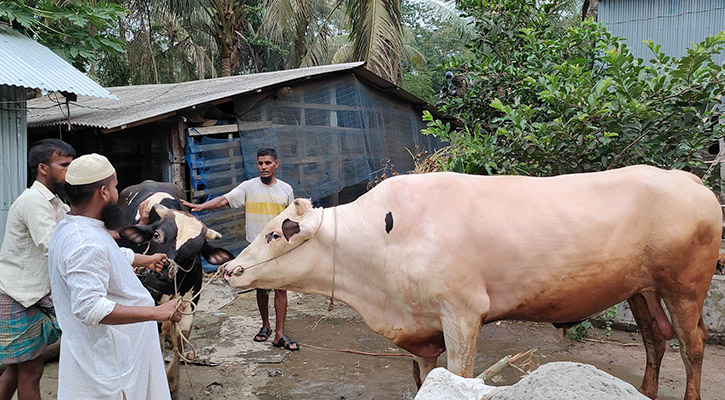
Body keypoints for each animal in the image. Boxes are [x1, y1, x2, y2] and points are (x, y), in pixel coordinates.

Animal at [116, 181, 233, 394]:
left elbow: (181, 335)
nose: (160, 277)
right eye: (156, 235)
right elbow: (158, 335)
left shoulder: (189, 300)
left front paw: (172, 379)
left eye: (195, 252)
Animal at [223, 164, 720, 398]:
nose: (228, 270)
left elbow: (459, 376)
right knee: (655, 339)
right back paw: (646, 393)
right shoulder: (421, 325)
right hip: (642, 289)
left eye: (274, 233)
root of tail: (688, 179)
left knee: (692, 345)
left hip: (685, 286)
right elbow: (426, 379)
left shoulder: (462, 313)